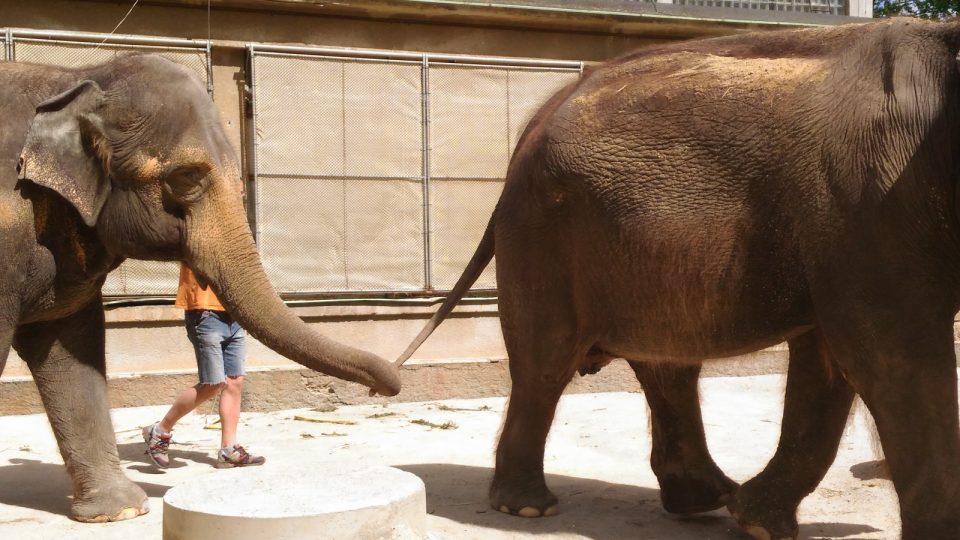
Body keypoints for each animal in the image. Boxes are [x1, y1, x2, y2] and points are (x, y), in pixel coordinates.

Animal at [396, 17, 960, 540]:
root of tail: (532, 126)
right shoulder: (864, 203)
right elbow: (892, 356)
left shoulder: (844, 222)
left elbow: (829, 362)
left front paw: (756, 523)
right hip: (543, 234)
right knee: (545, 361)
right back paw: (529, 509)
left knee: (667, 362)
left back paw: (706, 499)